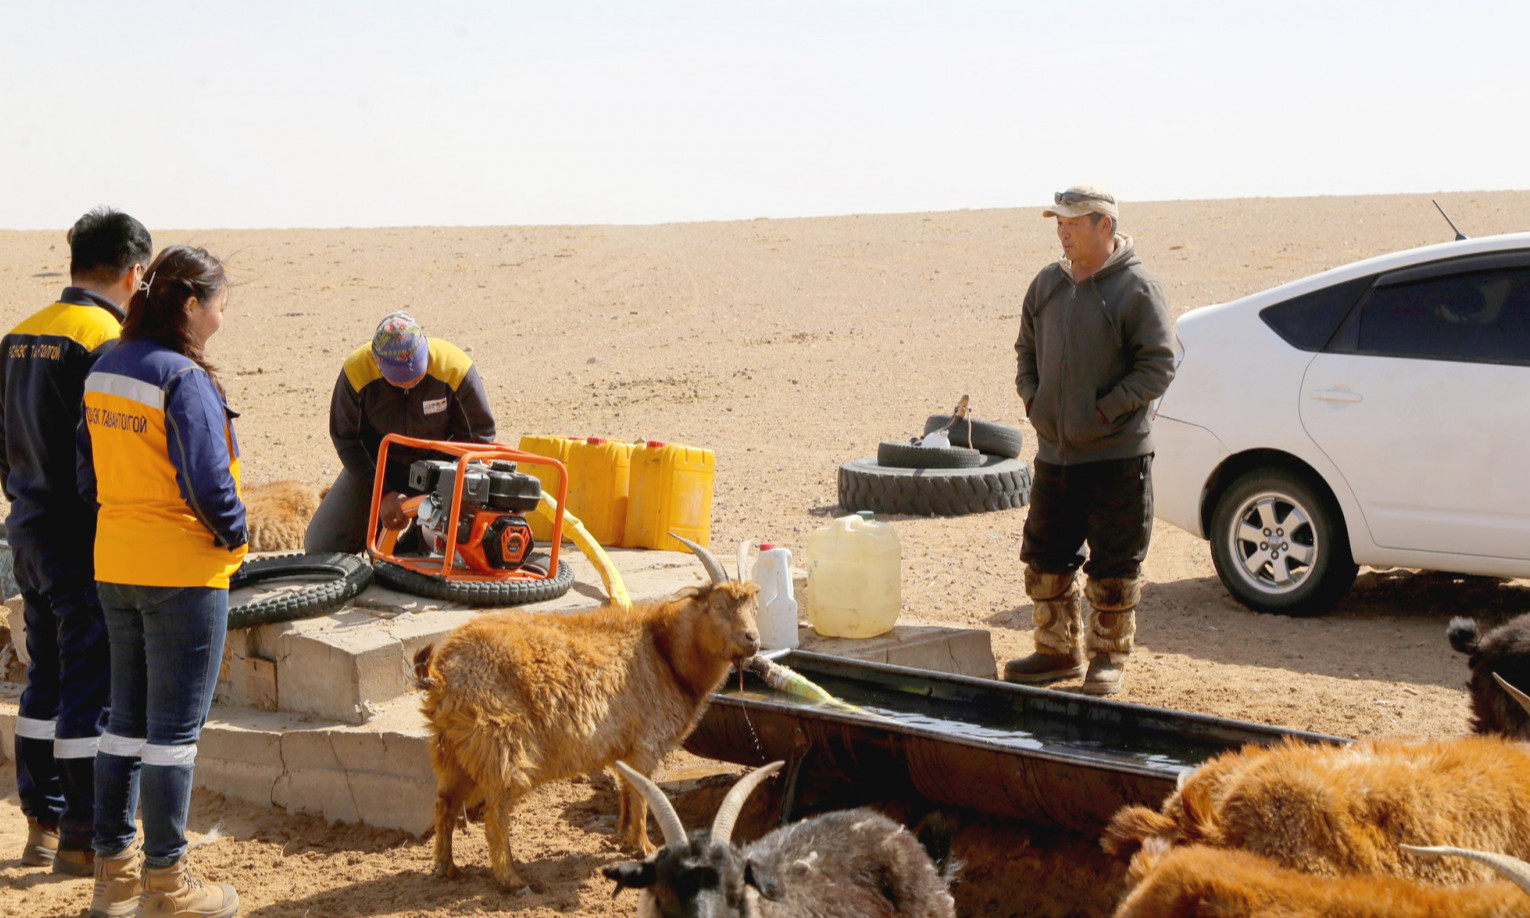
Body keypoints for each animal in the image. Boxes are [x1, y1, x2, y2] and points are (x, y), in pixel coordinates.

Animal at [413, 538, 758, 887]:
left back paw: (446, 867)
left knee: (445, 803)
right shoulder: (646, 744)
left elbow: (626, 792)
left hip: (453, 750)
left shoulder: (624, 748)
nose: (753, 639)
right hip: (501, 745)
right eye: (718, 605)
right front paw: (646, 847)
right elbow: (642, 796)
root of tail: (441, 673)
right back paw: (512, 879)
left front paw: (624, 838)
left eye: (754, 605)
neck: (664, 653)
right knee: (495, 814)